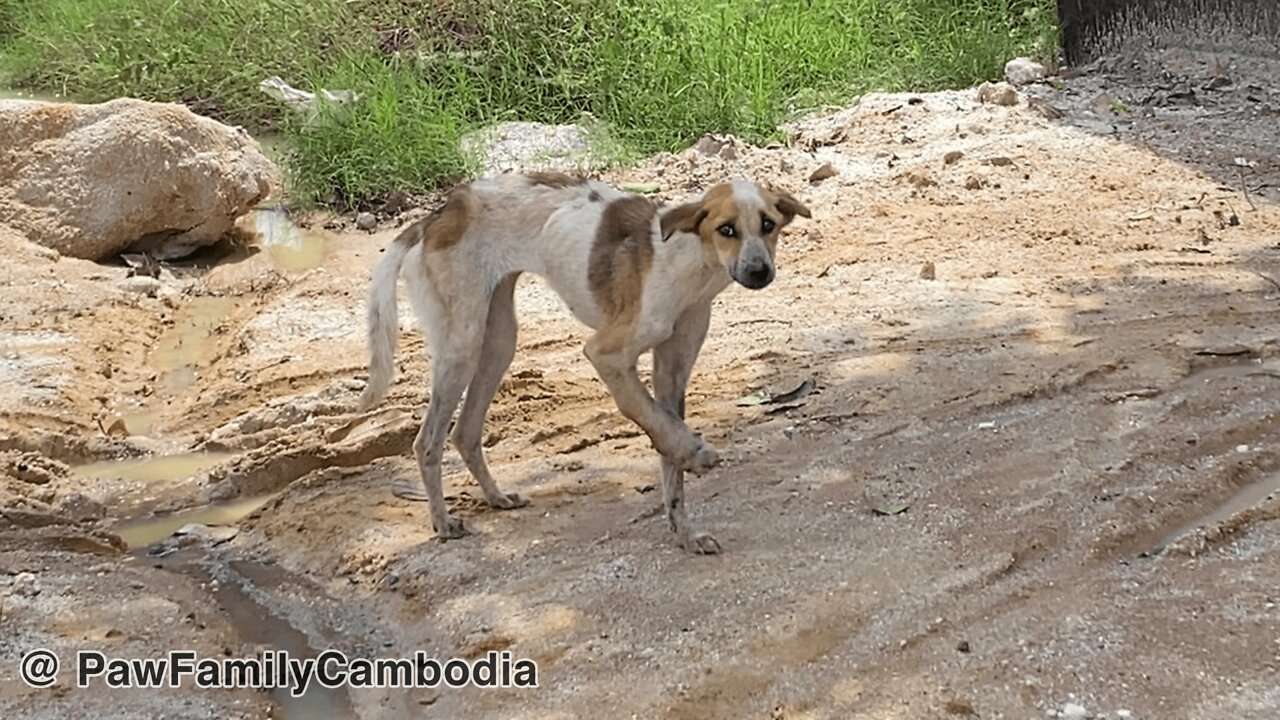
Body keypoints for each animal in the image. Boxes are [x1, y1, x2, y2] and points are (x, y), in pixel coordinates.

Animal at [360, 170, 808, 550]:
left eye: (768, 225)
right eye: (726, 229)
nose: (759, 271)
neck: (690, 266)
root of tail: (440, 213)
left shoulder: (672, 371)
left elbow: (667, 455)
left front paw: (685, 533)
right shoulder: (606, 353)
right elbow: (651, 418)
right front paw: (695, 454)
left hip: (498, 343)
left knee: (464, 433)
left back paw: (496, 497)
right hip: (462, 347)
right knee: (427, 442)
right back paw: (442, 523)